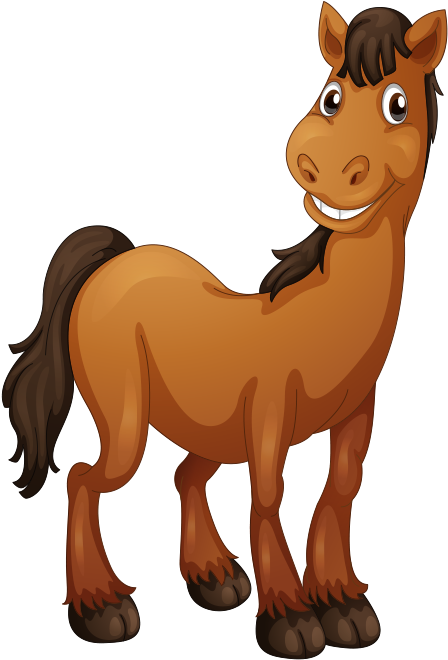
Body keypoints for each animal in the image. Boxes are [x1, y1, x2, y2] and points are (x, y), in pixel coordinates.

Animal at [3, 3, 446, 657]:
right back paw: (101, 607)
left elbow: (340, 491)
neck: (328, 311)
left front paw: (342, 603)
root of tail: (115, 259)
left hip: (208, 428)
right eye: (331, 95)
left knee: (185, 475)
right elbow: (268, 497)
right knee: (84, 479)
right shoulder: (268, 412)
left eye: (398, 104)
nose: (323, 167)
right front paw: (289, 619)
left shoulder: (357, 413)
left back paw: (212, 577)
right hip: (127, 423)